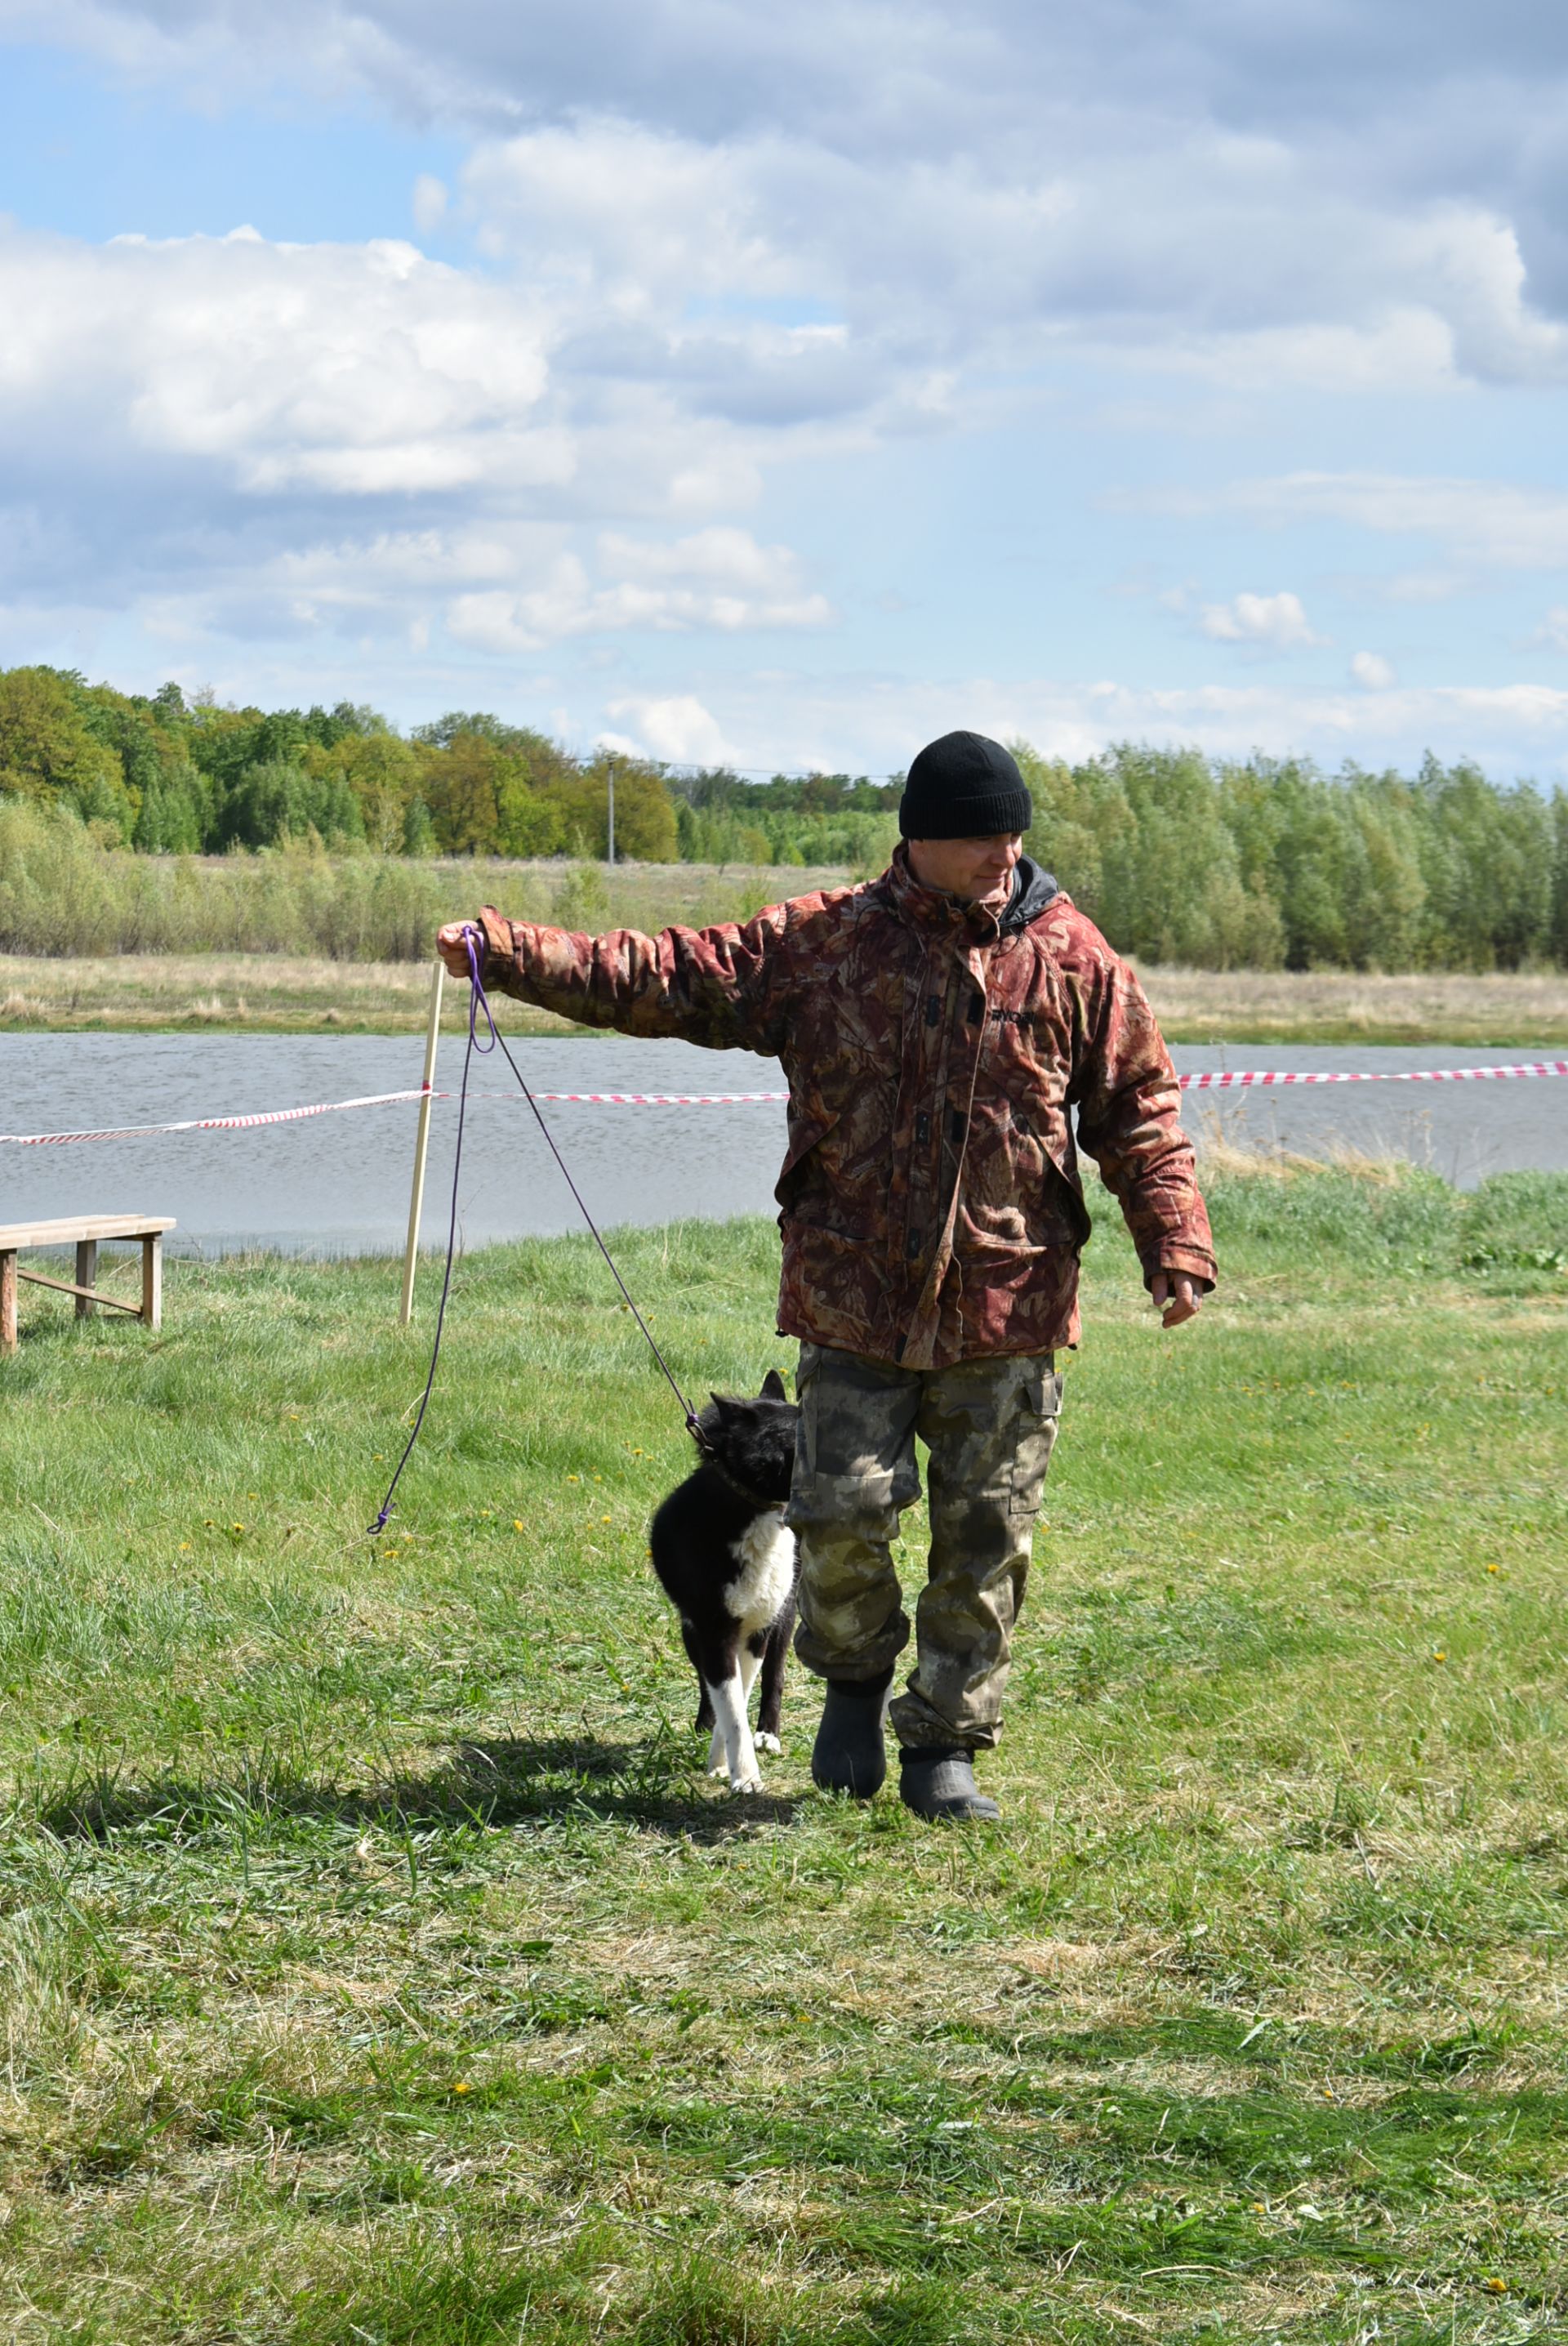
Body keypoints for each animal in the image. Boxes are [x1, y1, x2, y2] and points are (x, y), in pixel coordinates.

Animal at [647, 1370, 796, 1782]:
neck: (755, 1508)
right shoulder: (715, 1629)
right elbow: (730, 1704)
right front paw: (742, 1774)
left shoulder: (759, 1629)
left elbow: (740, 1699)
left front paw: (729, 1761)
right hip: (690, 1630)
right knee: (705, 1682)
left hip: (785, 1615)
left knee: (774, 1678)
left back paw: (768, 1734)